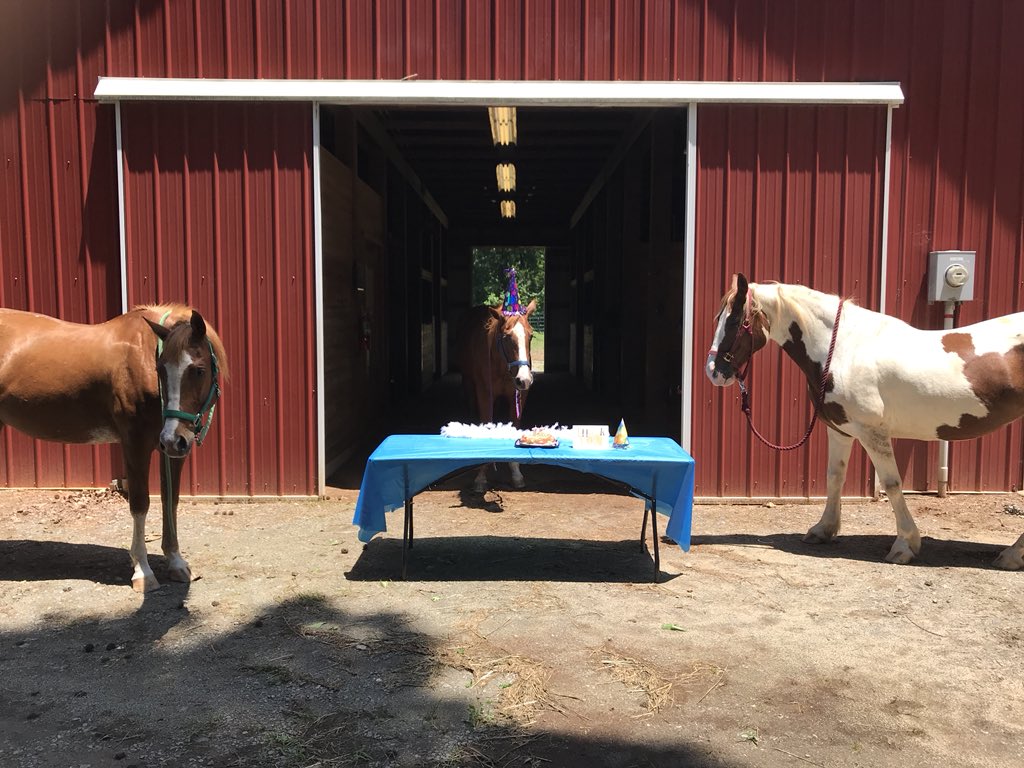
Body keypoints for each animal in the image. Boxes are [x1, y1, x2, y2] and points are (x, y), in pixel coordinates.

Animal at [0, 304, 227, 591]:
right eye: (161, 369)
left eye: (198, 369)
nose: (172, 439)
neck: (141, 356)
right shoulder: (135, 444)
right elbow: (140, 504)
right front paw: (143, 571)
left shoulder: (173, 451)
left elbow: (171, 501)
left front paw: (176, 562)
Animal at [456, 300, 537, 492]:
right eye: (507, 337)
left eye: (530, 336)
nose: (525, 379)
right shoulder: (485, 394)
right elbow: (486, 424)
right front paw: (481, 476)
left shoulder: (518, 396)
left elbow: (515, 426)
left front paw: (516, 474)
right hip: (469, 384)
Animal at [706, 273, 1024, 570]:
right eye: (720, 318)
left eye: (736, 322)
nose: (713, 371)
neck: (845, 349)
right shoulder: (839, 431)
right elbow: (834, 476)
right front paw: (823, 530)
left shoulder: (872, 433)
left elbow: (892, 484)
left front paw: (904, 545)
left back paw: (1012, 555)